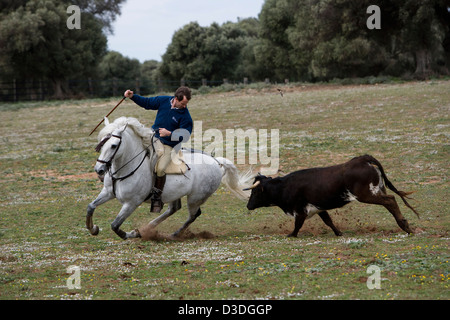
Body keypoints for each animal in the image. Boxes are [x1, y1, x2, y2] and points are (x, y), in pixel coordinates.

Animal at [86, 116, 251, 239]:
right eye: (101, 142)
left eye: (113, 145)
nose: (99, 169)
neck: (124, 169)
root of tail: (216, 161)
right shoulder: (108, 192)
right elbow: (91, 207)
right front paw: (93, 228)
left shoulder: (132, 203)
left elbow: (115, 225)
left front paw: (134, 233)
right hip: (174, 194)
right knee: (174, 209)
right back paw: (150, 227)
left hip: (196, 198)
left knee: (193, 215)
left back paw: (173, 234)